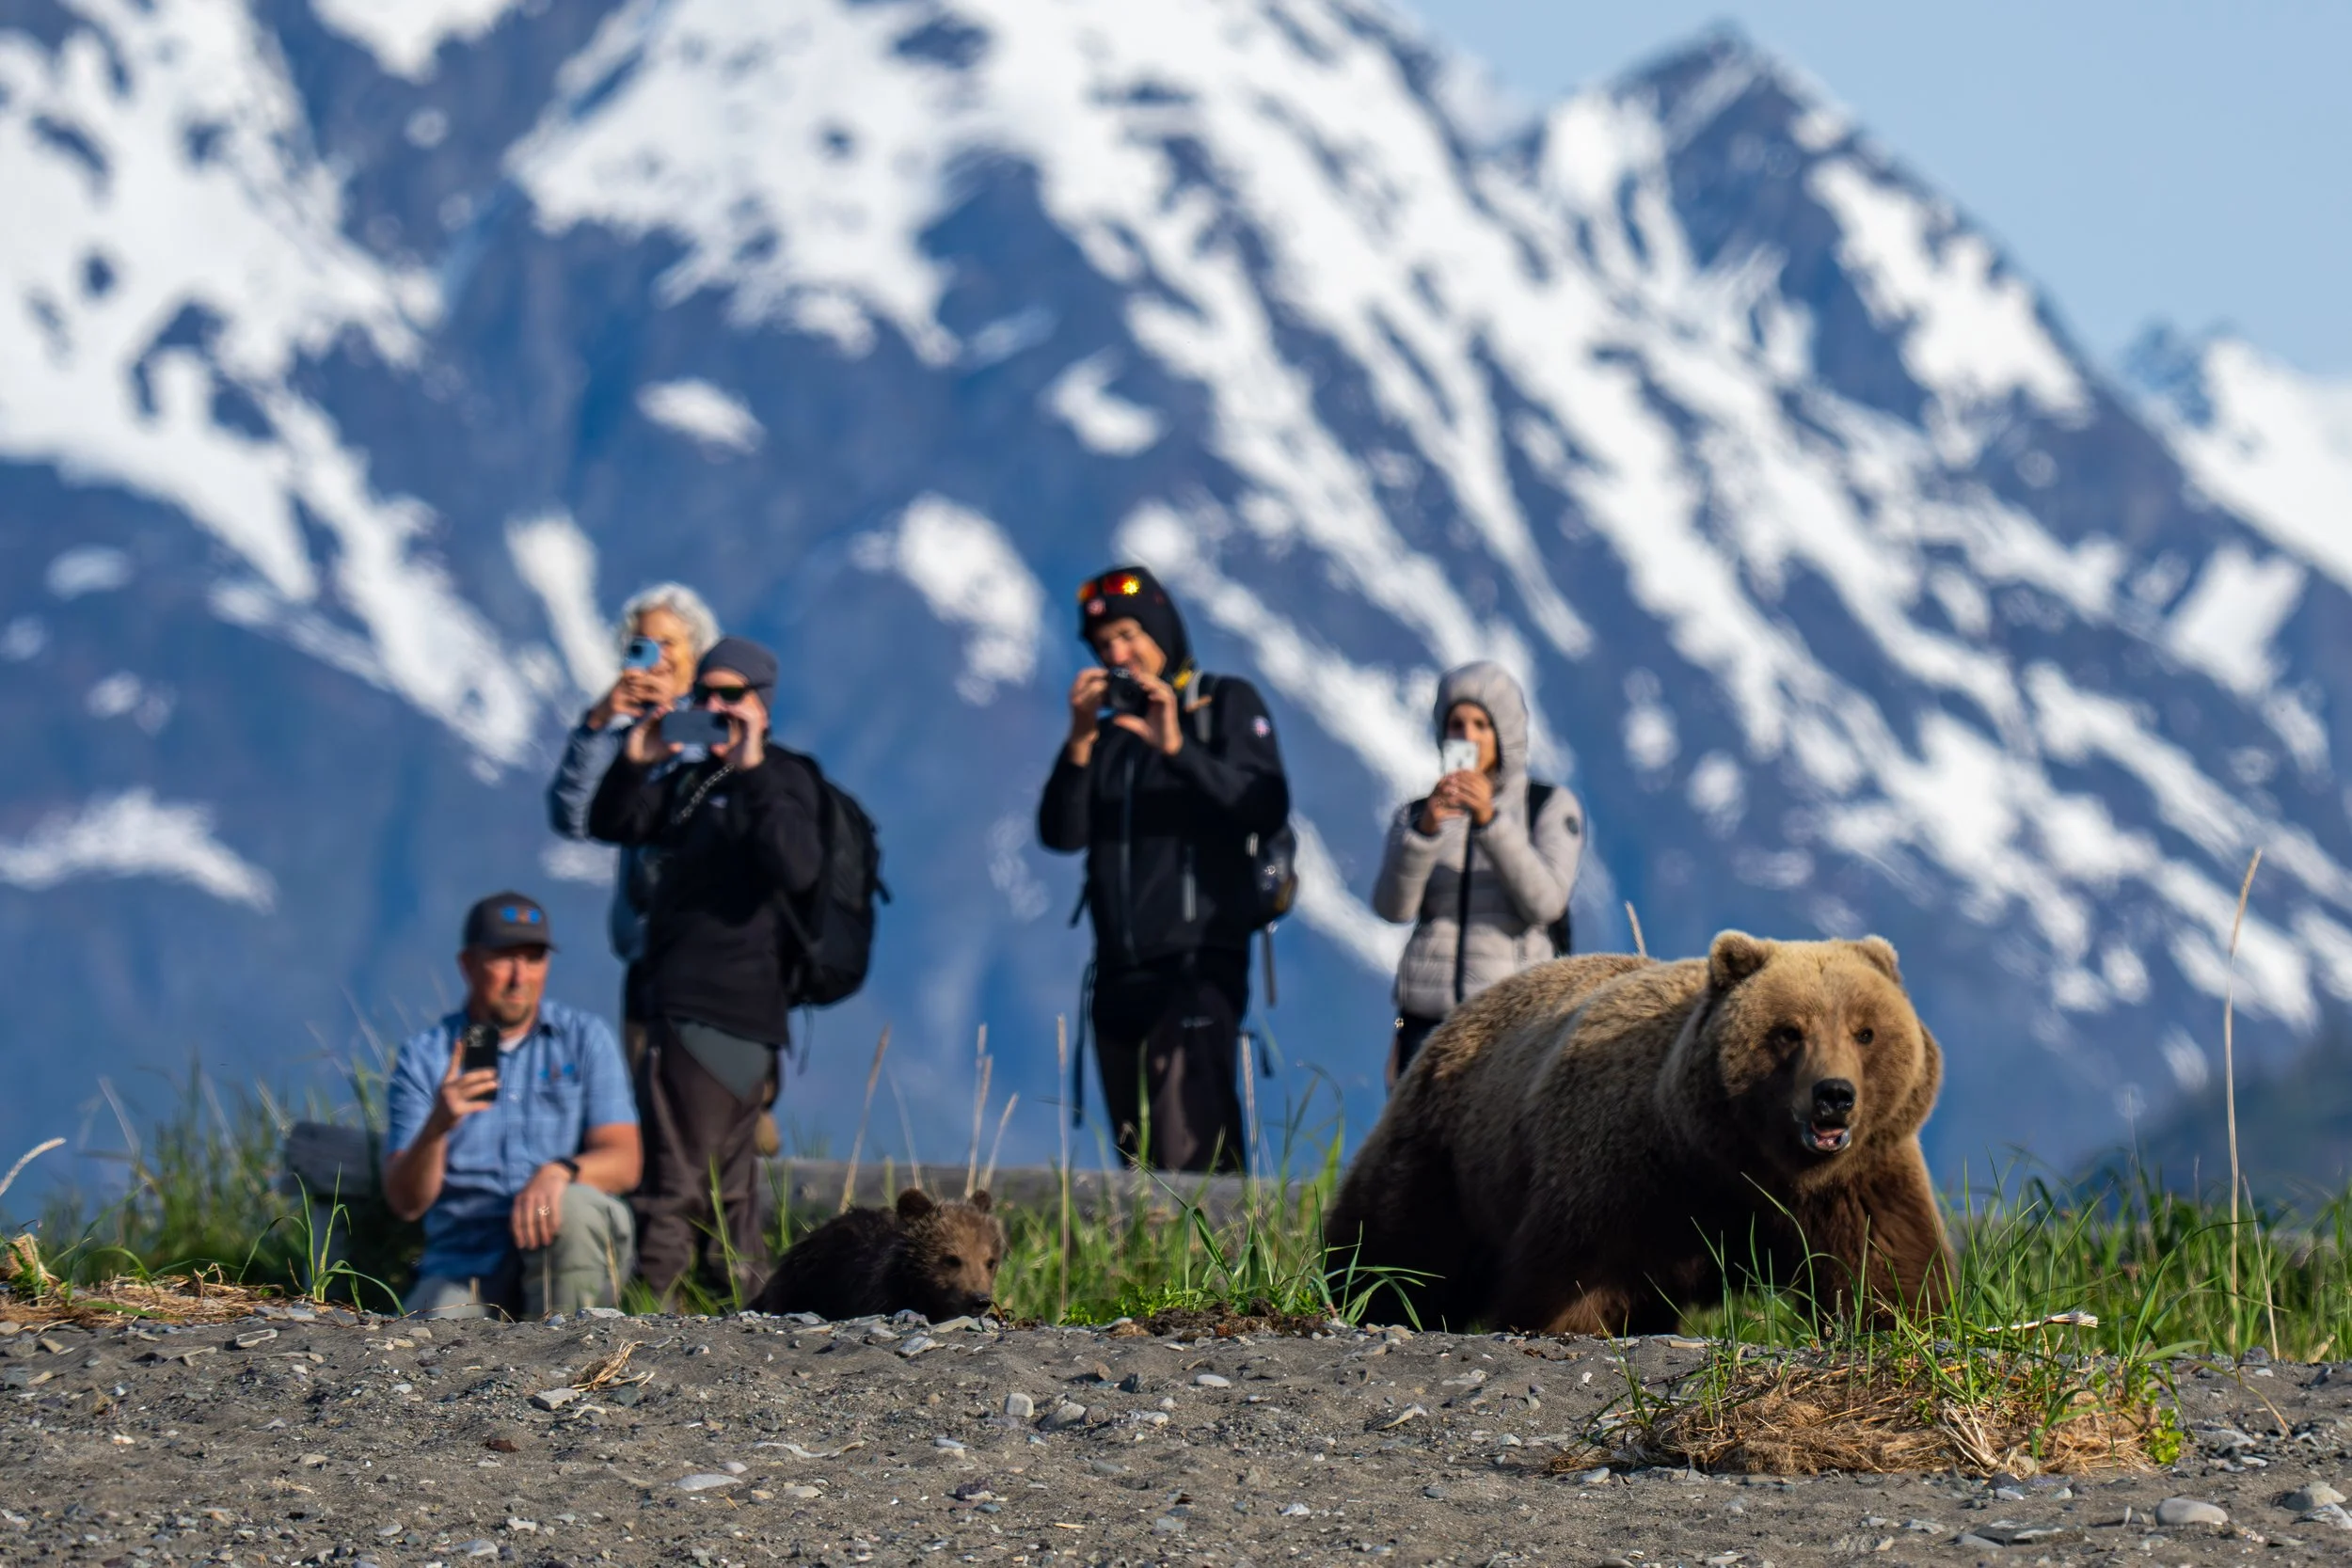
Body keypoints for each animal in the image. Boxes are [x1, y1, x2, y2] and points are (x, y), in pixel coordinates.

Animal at [1325, 933, 1950, 1335]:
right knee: (1402, 1242)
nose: (1835, 1096)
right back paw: (1365, 1297)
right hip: (1449, 1152)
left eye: (1866, 1031)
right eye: (1787, 1031)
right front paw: (1566, 1323)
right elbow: (1575, 1275)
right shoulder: (1629, 1174)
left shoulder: (1858, 1180)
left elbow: (1885, 1264)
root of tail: (1455, 1015)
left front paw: (1900, 1319)